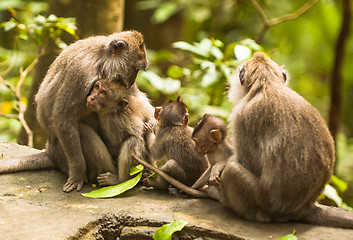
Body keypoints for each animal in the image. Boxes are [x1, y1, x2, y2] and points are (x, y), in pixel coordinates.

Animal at [0, 30, 148, 192]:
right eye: (135, 68)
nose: (132, 81)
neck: (101, 59)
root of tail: (50, 151)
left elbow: (137, 98)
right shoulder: (80, 73)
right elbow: (64, 120)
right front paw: (77, 174)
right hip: (68, 157)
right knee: (82, 130)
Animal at [133, 53, 352, 229]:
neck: (267, 85)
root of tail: (302, 208)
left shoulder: (241, 116)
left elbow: (240, 160)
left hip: (258, 205)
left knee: (232, 170)